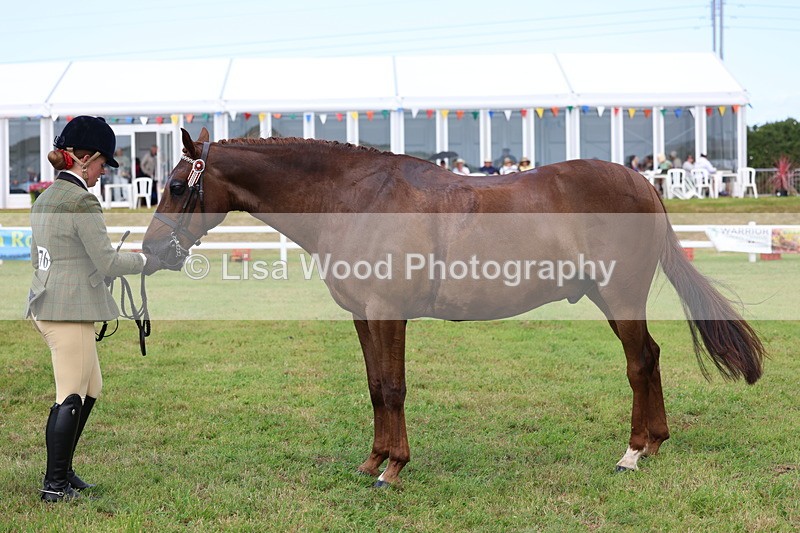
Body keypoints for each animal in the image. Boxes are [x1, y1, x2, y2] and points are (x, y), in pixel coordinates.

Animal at [142, 127, 764, 487]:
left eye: (176, 187)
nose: (149, 250)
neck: (357, 199)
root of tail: (643, 184)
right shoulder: (363, 316)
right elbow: (375, 387)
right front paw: (372, 461)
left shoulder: (389, 312)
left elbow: (393, 387)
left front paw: (394, 468)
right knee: (652, 357)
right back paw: (654, 444)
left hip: (620, 295)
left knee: (639, 362)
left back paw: (633, 453)